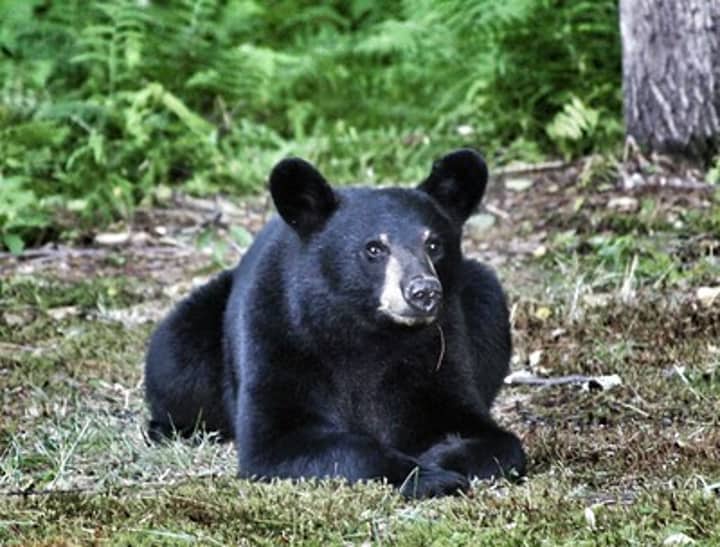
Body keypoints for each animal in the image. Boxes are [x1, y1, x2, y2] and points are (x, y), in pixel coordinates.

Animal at [144, 149, 526, 497]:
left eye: (434, 244)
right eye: (374, 248)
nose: (423, 292)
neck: (366, 331)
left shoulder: (436, 350)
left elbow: (486, 432)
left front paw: (444, 455)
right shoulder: (277, 335)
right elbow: (280, 439)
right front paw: (424, 474)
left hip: (481, 295)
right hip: (194, 332)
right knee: (175, 360)